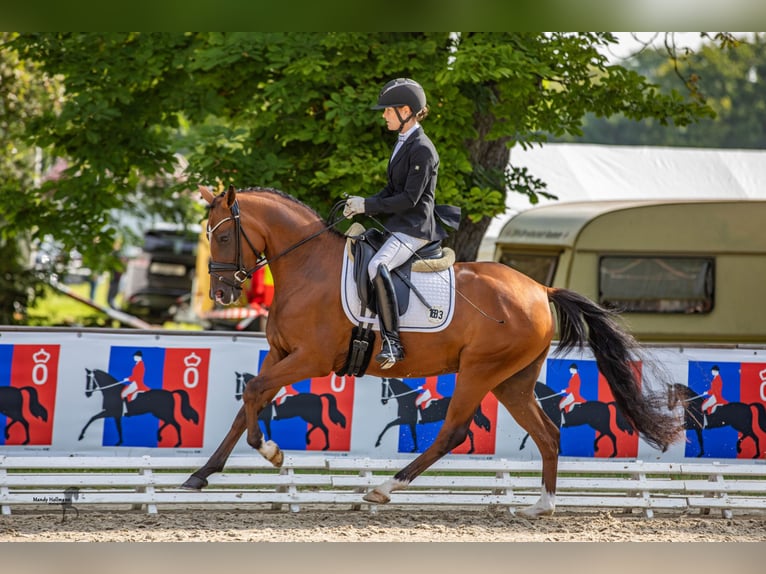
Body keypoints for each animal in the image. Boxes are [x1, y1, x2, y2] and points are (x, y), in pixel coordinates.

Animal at [186, 187, 684, 520]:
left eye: (224, 236)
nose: (222, 293)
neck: (308, 268)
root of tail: (540, 290)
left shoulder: (309, 358)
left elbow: (254, 392)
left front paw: (270, 451)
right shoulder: (279, 353)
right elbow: (246, 404)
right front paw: (201, 476)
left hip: (479, 372)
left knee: (453, 432)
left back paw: (384, 489)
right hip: (513, 381)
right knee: (547, 435)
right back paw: (540, 506)